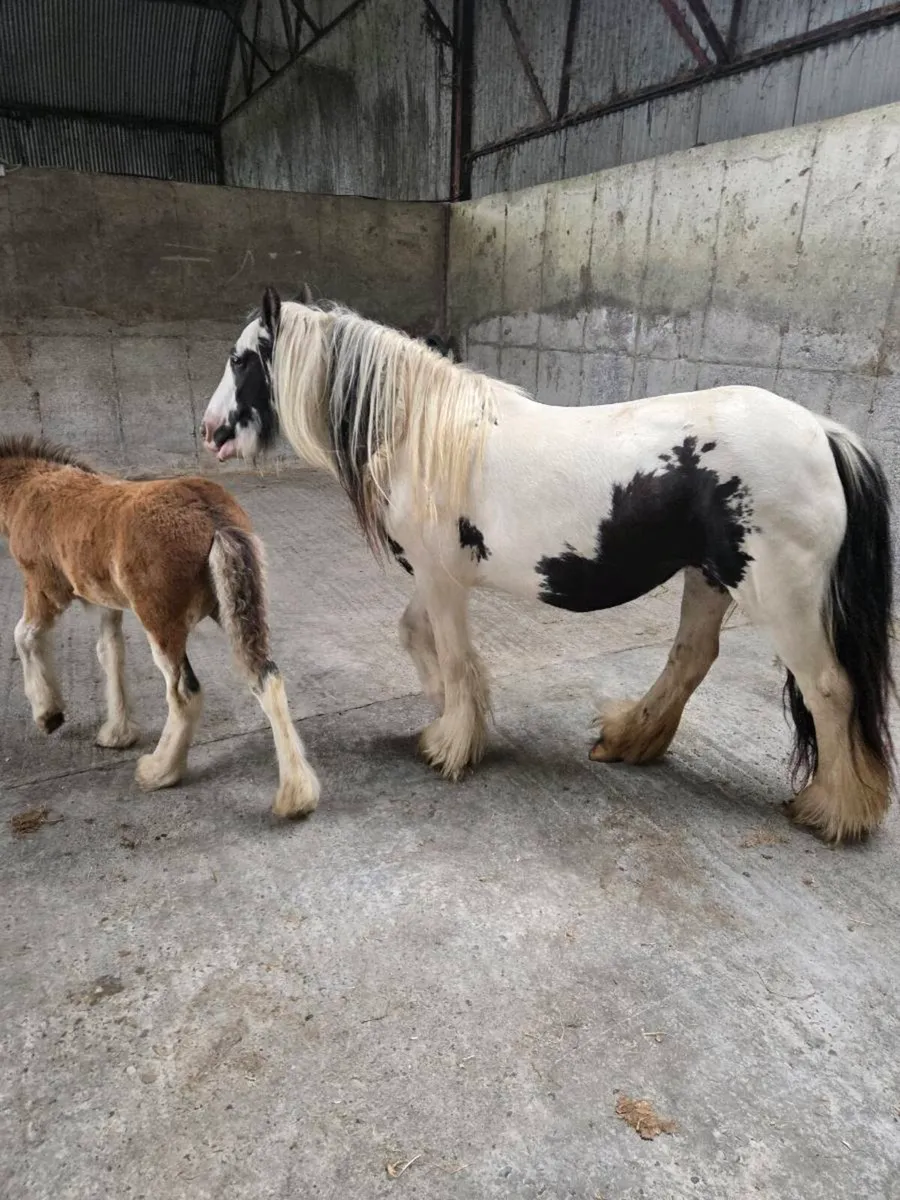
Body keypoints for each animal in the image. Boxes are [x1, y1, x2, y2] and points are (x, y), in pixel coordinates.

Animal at [0, 435, 320, 818]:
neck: (28, 487)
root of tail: (211, 515)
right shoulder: (108, 604)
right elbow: (110, 653)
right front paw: (117, 733)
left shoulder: (45, 589)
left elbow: (22, 636)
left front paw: (48, 714)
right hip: (235, 607)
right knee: (267, 676)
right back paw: (296, 795)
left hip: (161, 622)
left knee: (184, 692)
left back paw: (158, 772)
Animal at [199, 287, 894, 844]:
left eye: (241, 358)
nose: (209, 431)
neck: (423, 433)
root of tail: (823, 432)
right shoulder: (435, 578)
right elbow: (417, 638)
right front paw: (449, 714)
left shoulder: (442, 579)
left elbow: (453, 656)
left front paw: (451, 743)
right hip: (709, 578)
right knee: (691, 658)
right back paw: (628, 739)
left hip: (780, 597)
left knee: (828, 689)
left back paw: (835, 810)